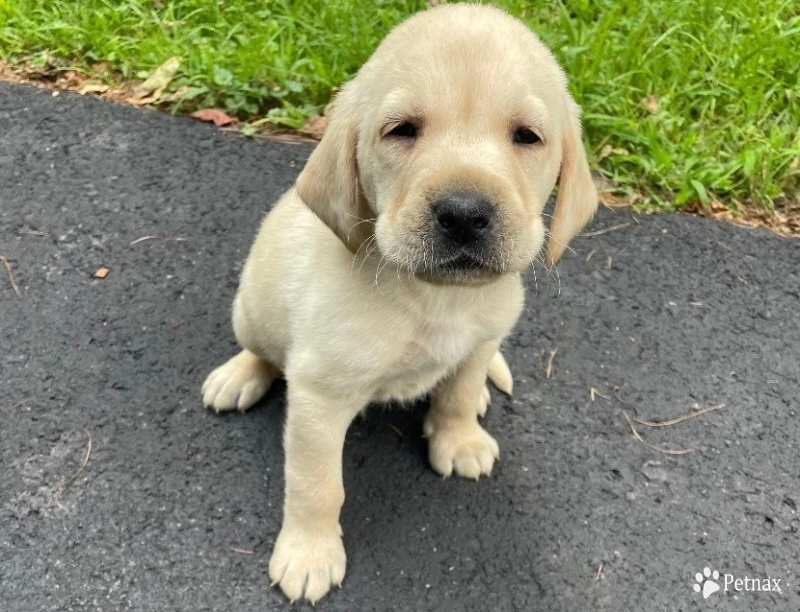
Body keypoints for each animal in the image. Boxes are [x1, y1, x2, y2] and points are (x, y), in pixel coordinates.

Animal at [203, 2, 596, 604]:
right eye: (402, 131)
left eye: (528, 137)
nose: (464, 213)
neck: (434, 297)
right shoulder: (319, 397)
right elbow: (317, 485)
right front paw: (309, 553)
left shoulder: (482, 336)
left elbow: (458, 390)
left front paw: (459, 436)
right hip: (250, 309)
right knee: (262, 350)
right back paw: (239, 375)